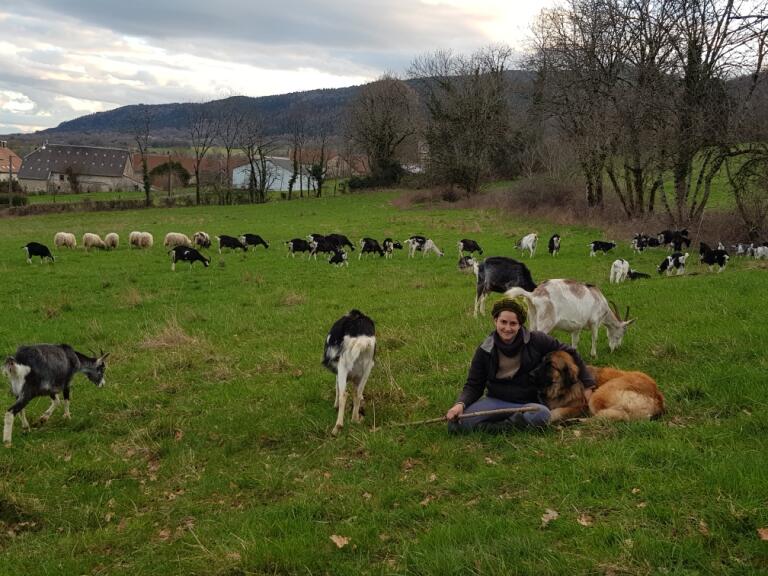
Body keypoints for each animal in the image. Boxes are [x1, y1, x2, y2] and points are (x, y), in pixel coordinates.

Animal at [504, 278, 636, 356]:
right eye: (623, 331)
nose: (616, 348)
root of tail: (533, 295)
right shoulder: (594, 322)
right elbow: (595, 337)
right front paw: (594, 355)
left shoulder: (576, 327)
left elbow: (575, 341)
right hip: (545, 322)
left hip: (532, 317)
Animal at [532, 348, 664, 420]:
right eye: (541, 362)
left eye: (550, 365)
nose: (530, 373)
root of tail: (657, 396)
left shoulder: (580, 406)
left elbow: (557, 411)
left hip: (598, 395)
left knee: (618, 416)